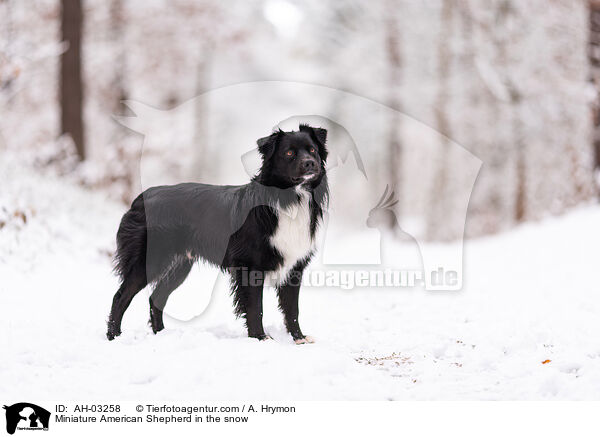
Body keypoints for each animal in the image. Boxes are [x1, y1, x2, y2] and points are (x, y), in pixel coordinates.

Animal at [104, 123, 328, 344]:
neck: (290, 199)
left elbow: (292, 308)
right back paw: (114, 336)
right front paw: (260, 338)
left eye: (312, 151)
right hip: (151, 260)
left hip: (180, 265)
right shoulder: (250, 266)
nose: (310, 164)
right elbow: (255, 308)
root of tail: (140, 198)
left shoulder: (294, 267)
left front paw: (299, 339)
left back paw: (160, 335)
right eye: (289, 153)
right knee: (120, 297)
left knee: (156, 298)